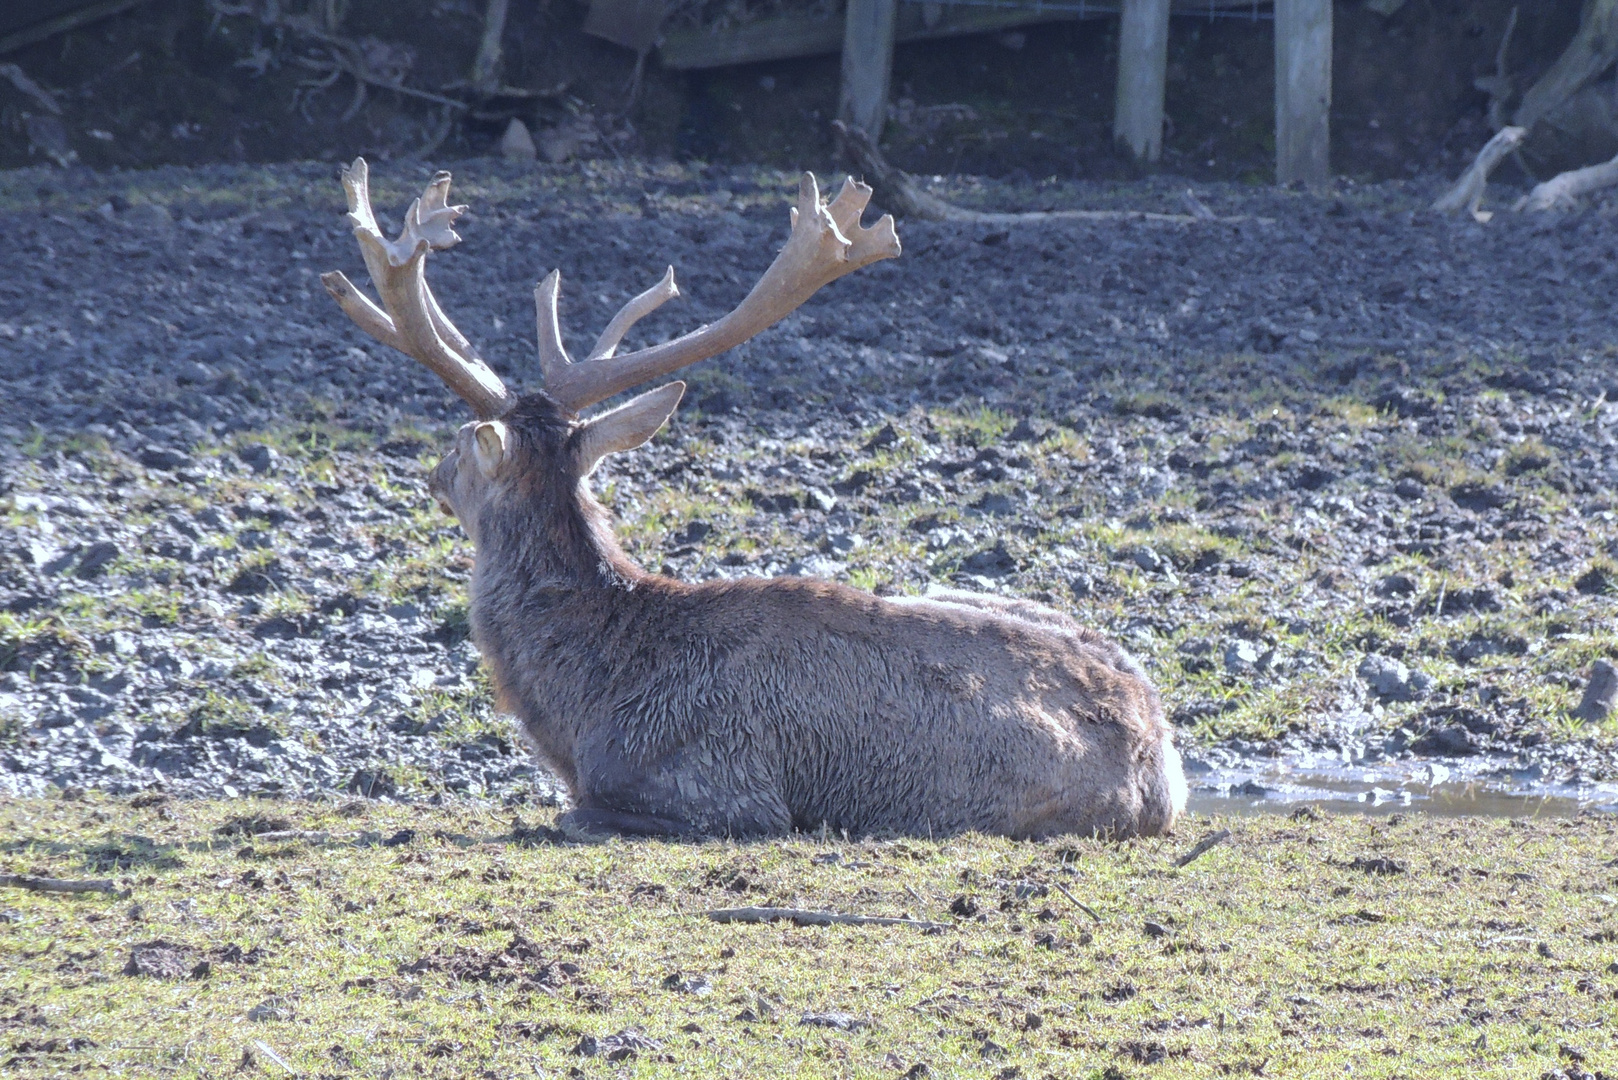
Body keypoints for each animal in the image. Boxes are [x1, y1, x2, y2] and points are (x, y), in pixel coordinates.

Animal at [318, 160, 1190, 841]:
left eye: (461, 445)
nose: (431, 474)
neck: (586, 698)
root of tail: (1166, 764)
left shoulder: (722, 790)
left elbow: (572, 815)